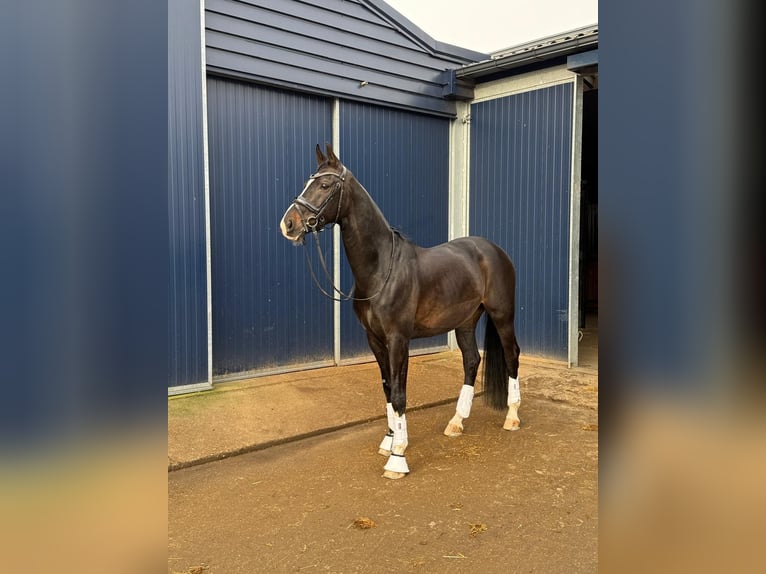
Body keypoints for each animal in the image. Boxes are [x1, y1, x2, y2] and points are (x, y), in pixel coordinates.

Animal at [282, 144, 520, 482]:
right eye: (308, 182)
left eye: (325, 185)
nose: (288, 224)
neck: (382, 269)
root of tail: (493, 250)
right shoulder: (375, 340)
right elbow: (386, 388)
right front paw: (389, 440)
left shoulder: (398, 340)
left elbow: (399, 393)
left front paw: (397, 458)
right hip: (465, 322)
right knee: (472, 360)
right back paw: (456, 422)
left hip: (502, 315)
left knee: (512, 355)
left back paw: (512, 416)